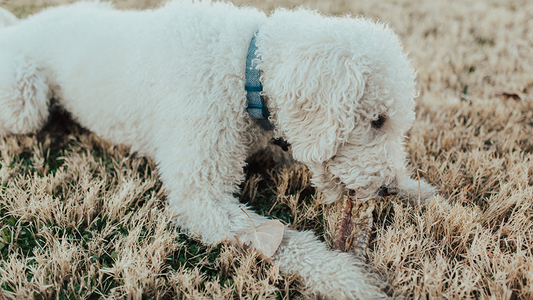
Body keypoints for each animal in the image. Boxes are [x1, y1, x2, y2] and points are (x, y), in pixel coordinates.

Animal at [0, 1, 432, 298]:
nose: (388, 188)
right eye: (377, 121)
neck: (246, 70)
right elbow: (288, 241)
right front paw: (351, 281)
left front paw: (420, 192)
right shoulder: (202, 199)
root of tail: (19, 28)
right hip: (26, 100)